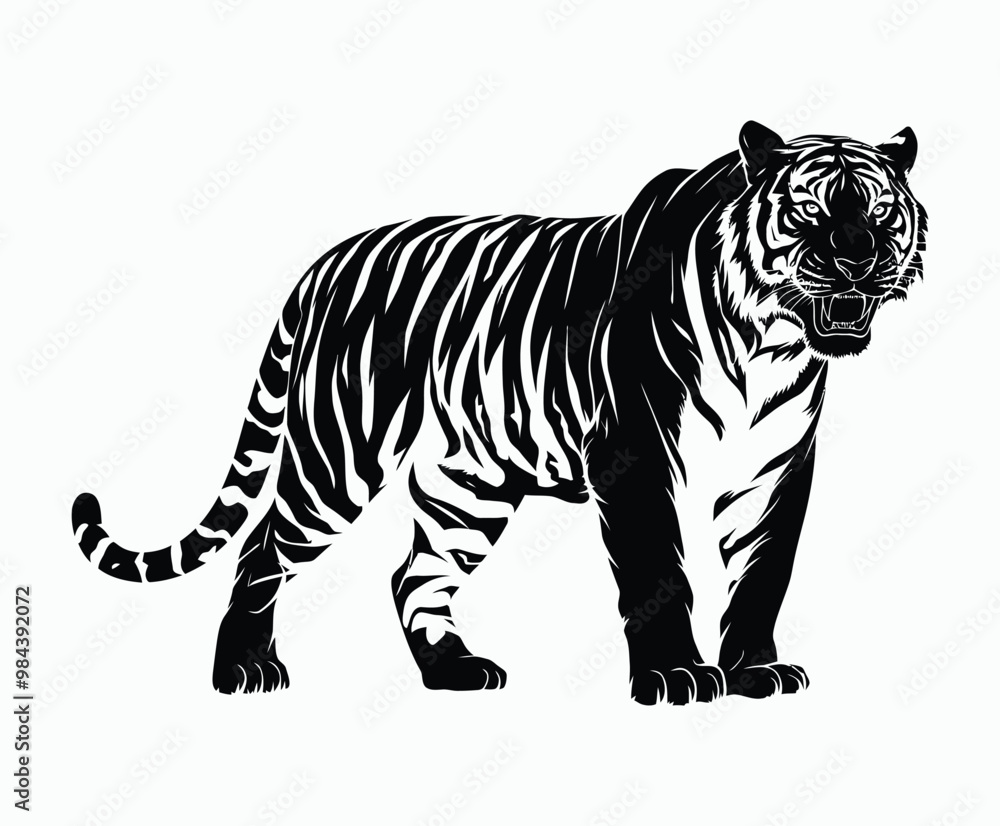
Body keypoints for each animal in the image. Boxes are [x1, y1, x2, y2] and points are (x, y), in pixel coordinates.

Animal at [71, 121, 927, 705]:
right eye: (811, 213)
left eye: (883, 215)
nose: (859, 257)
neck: (767, 343)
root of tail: (326, 263)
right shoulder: (634, 455)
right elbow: (656, 570)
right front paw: (675, 676)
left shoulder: (775, 469)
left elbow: (762, 573)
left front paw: (754, 671)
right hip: (337, 459)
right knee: (262, 547)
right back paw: (244, 668)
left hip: (470, 484)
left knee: (413, 573)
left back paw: (453, 670)